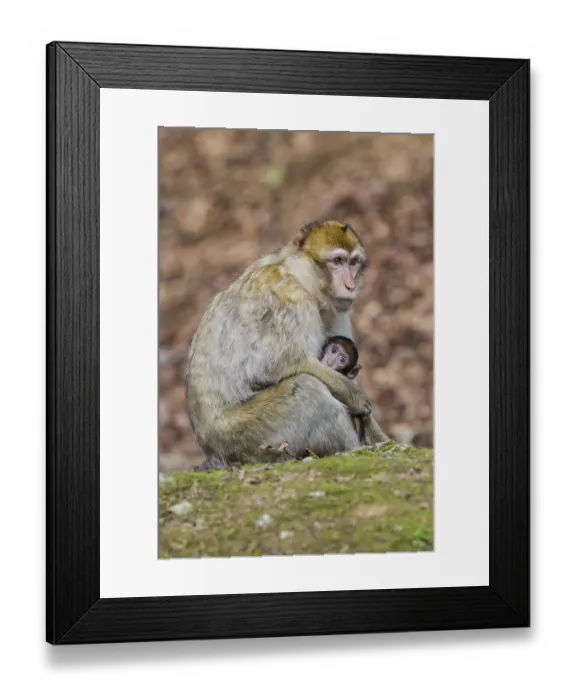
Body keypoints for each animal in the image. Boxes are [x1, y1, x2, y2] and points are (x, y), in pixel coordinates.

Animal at [186, 220, 389, 468]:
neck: (299, 276)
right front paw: (354, 395)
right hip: (244, 439)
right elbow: (275, 366)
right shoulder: (288, 299)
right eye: (337, 261)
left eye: (353, 263)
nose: (350, 286)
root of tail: (210, 450)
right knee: (307, 388)